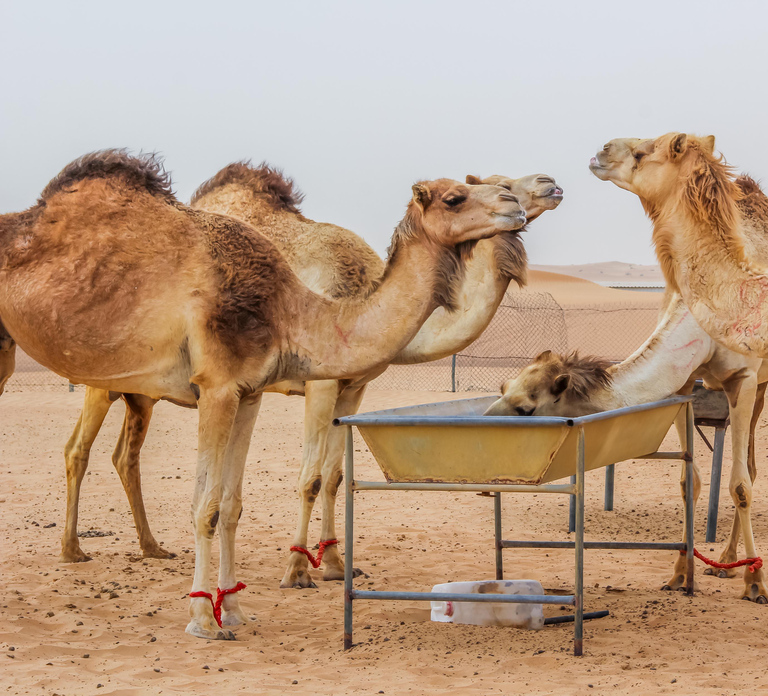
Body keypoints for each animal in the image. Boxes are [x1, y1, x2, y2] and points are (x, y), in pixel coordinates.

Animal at [0, 150, 525, 639]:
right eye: (455, 196)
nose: (514, 203)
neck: (292, 313)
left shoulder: (249, 392)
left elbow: (233, 505)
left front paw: (233, 609)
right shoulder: (218, 386)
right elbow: (208, 505)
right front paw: (204, 618)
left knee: (120, 455)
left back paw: (144, 548)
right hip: (88, 380)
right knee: (80, 449)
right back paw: (74, 551)